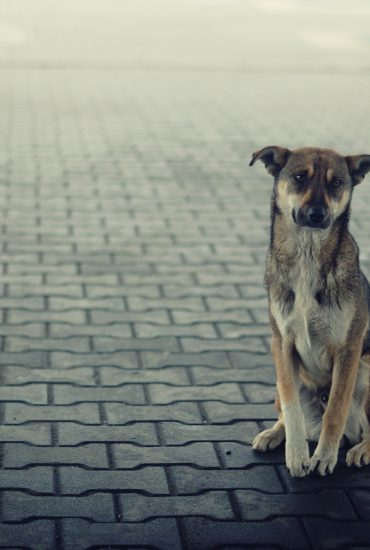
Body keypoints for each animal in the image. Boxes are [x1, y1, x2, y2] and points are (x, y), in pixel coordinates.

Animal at [249, 148, 370, 478]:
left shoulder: (349, 350)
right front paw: (296, 454)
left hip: (367, 371)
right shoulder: (282, 344)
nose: (317, 214)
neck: (307, 253)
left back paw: (362, 448)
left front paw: (324, 456)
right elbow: (293, 410)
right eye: (300, 177)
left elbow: (336, 410)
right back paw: (274, 432)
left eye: (337, 182)